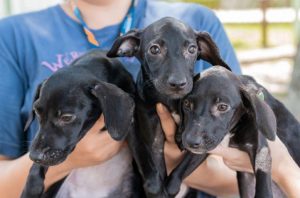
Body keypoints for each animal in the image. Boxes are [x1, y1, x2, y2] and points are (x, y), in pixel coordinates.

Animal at [107, 17, 230, 196]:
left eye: (192, 49)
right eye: (154, 49)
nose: (178, 84)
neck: (171, 102)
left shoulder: (206, 142)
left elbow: (180, 171)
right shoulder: (153, 138)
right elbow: (155, 176)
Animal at [178, 66, 300, 196]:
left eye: (222, 107)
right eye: (187, 104)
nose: (190, 142)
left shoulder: (261, 150)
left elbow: (263, 181)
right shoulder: (207, 147)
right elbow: (181, 169)